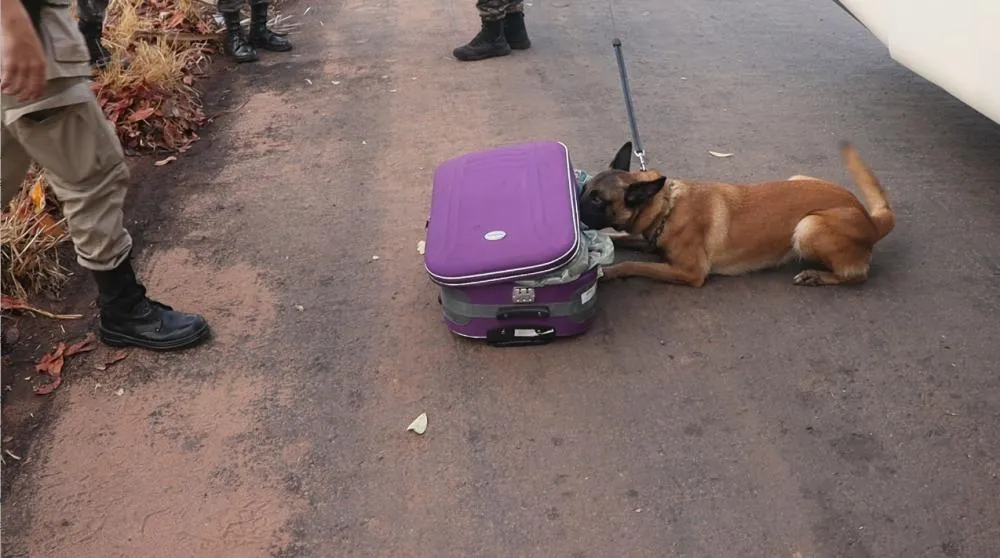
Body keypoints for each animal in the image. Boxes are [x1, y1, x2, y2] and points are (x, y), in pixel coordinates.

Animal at [580, 142, 900, 288]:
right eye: (585, 189)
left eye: (596, 200)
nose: (574, 203)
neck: (666, 205)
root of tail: (871, 220)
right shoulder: (648, 239)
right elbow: (620, 238)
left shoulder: (690, 273)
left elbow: (633, 264)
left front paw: (608, 271)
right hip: (797, 178)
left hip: (808, 225)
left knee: (856, 274)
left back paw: (819, 276)